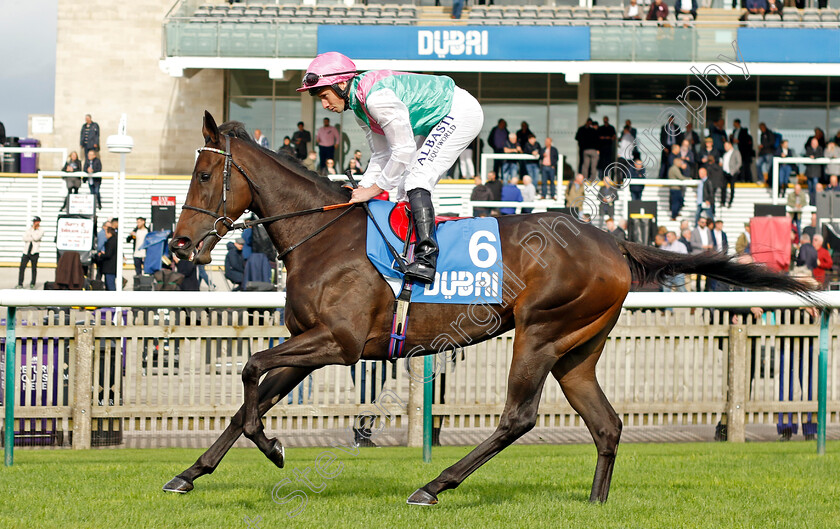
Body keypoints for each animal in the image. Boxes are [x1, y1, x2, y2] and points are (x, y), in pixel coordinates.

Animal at [164, 112, 812, 504]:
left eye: (205, 175)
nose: (177, 246)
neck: (320, 237)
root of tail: (613, 241)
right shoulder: (312, 341)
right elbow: (247, 398)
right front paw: (189, 474)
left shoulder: (339, 343)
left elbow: (250, 370)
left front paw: (272, 448)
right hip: (576, 351)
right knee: (606, 423)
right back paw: (596, 501)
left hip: (539, 331)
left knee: (517, 418)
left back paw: (434, 485)